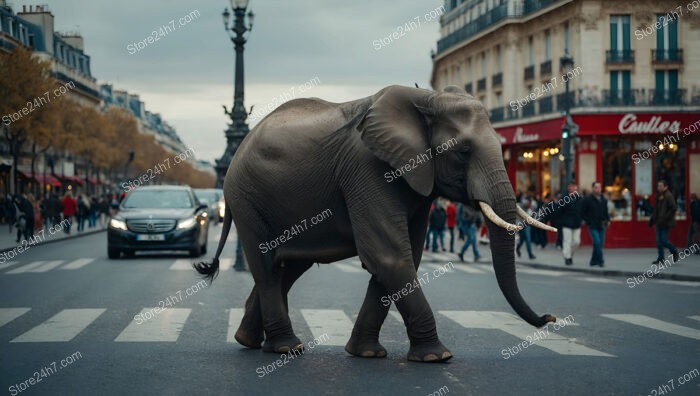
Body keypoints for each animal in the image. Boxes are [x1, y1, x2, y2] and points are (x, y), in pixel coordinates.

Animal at [197, 85, 556, 364]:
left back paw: (249, 340)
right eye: (464, 151)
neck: (426, 99)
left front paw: (367, 354)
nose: (549, 317)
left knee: (290, 267)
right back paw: (286, 348)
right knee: (268, 267)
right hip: (247, 197)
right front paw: (437, 357)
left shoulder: (416, 184)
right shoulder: (367, 170)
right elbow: (389, 255)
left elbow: (405, 256)